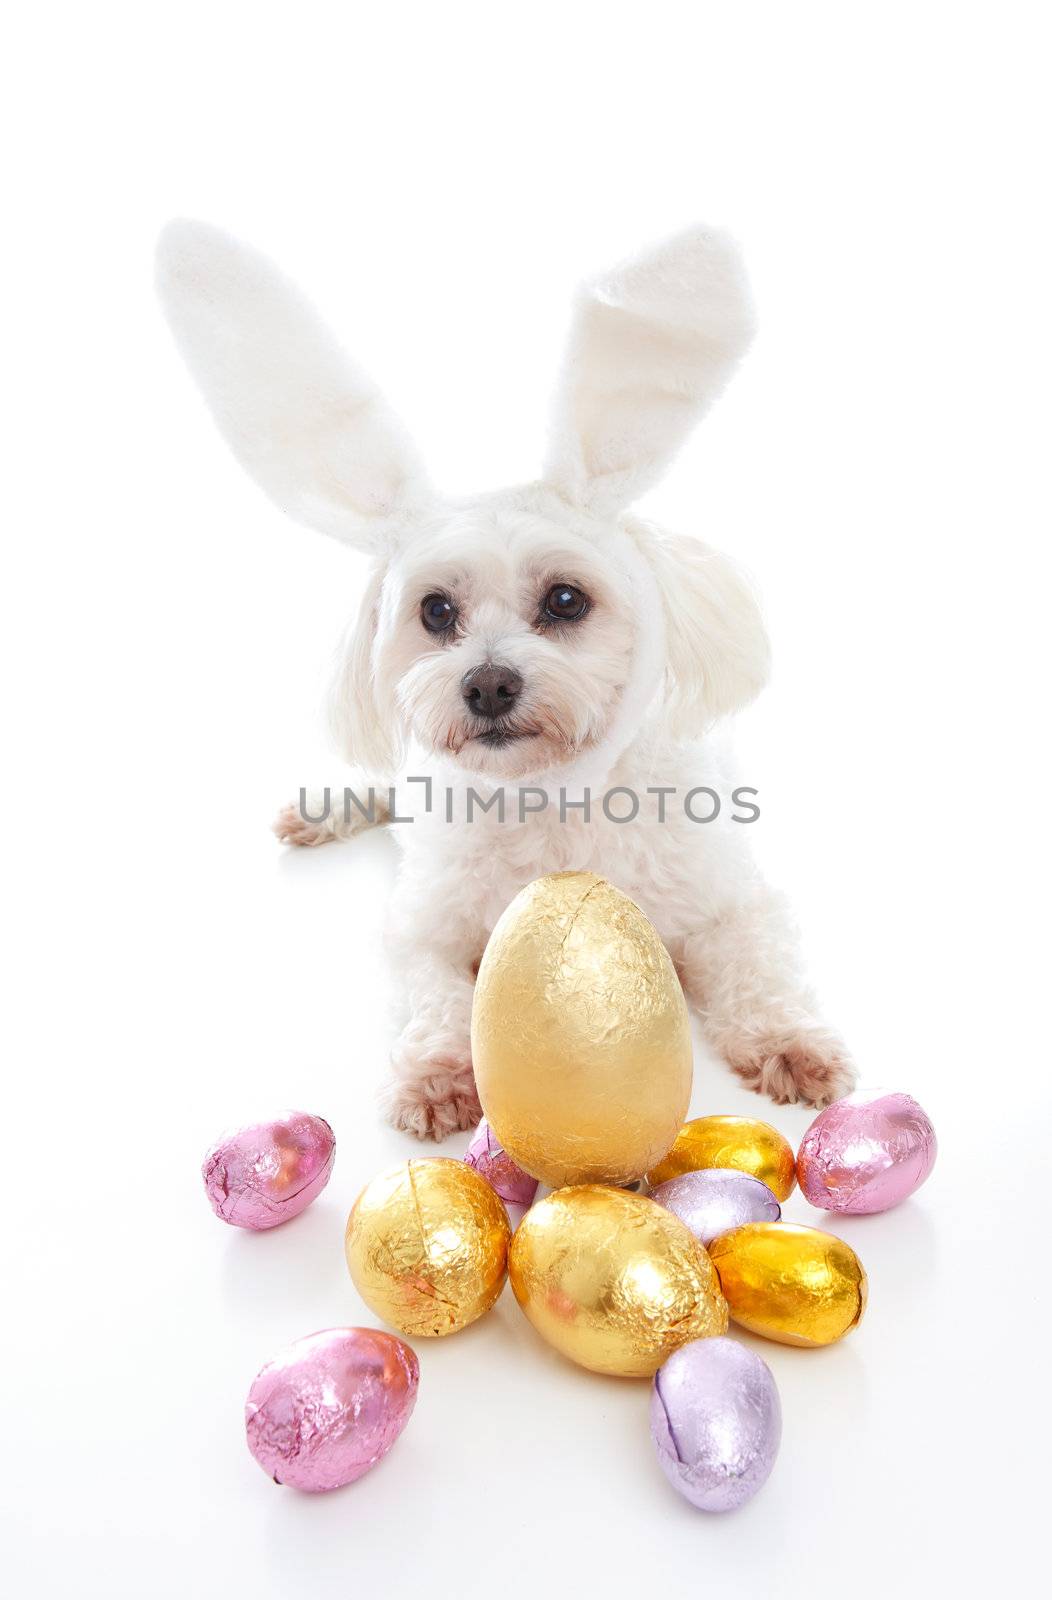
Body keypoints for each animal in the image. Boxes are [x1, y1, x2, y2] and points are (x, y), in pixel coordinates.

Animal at [157, 219, 850, 1139]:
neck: (552, 800)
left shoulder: (730, 901)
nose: (485, 685)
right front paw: (438, 1074)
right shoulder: (424, 928)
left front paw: (789, 1041)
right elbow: (434, 996)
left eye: (565, 599)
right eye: (435, 611)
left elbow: (758, 967)